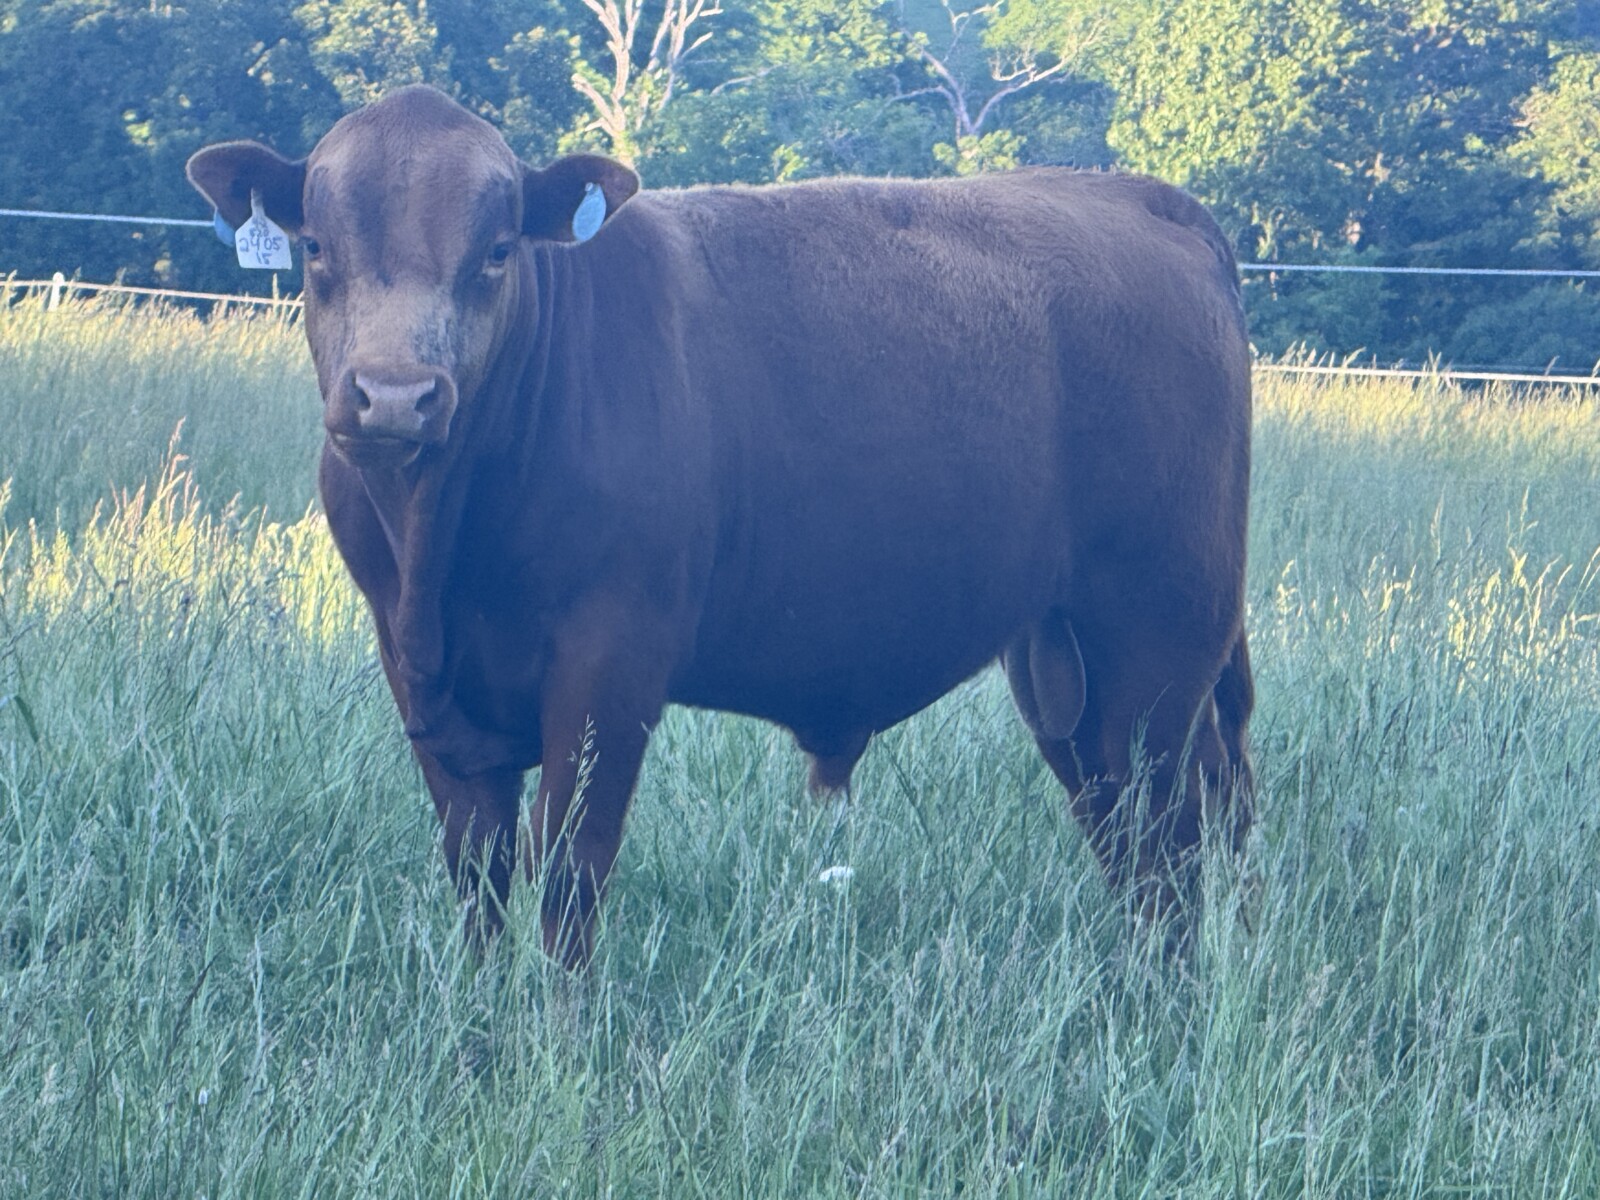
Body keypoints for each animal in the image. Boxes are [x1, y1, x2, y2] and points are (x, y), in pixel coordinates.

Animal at [187, 85, 1254, 967]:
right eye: (317, 248)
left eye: (495, 251)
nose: (397, 396)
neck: (439, 548)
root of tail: (1145, 200)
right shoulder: (423, 685)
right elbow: (478, 872)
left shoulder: (610, 667)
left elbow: (569, 866)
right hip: (1060, 656)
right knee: (1131, 813)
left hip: (1161, 636)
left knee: (1173, 828)